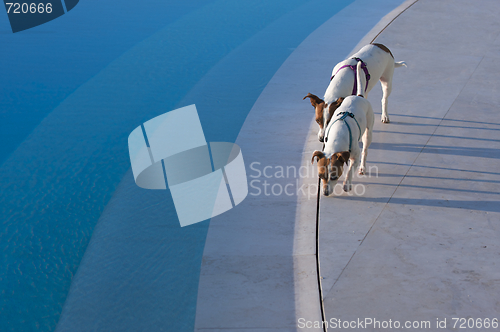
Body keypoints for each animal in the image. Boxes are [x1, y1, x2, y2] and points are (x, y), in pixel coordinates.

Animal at [310, 61, 374, 196]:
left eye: (334, 176)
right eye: (320, 176)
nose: (325, 193)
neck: (337, 136)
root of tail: (359, 96)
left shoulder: (355, 156)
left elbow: (350, 170)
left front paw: (346, 184)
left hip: (368, 131)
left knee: (365, 149)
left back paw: (362, 167)